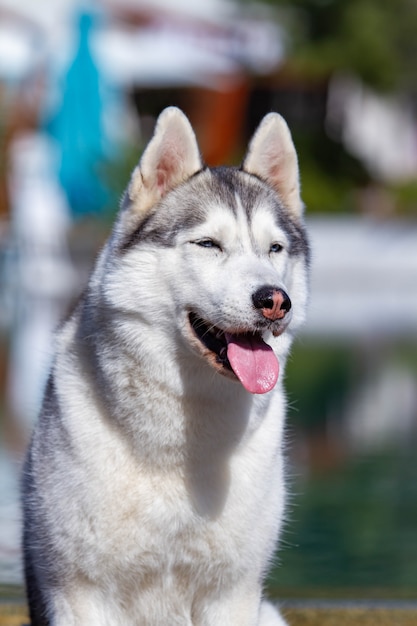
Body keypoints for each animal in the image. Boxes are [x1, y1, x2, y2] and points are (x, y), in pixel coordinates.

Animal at [22, 105, 308, 620]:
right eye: (209, 244)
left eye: (274, 248)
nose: (275, 300)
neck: (180, 443)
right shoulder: (80, 592)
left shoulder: (232, 593)